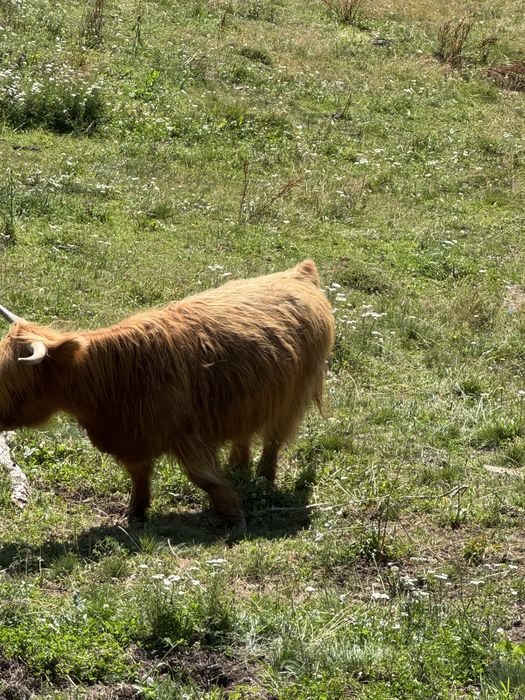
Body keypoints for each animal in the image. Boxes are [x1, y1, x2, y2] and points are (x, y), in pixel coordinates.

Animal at [0, 260, 334, 530]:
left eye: (9, 379)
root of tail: (298, 273)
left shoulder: (188, 434)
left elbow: (203, 476)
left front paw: (233, 517)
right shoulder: (132, 439)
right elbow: (139, 475)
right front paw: (135, 512)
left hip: (293, 396)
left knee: (274, 438)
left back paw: (264, 478)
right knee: (244, 434)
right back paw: (239, 466)